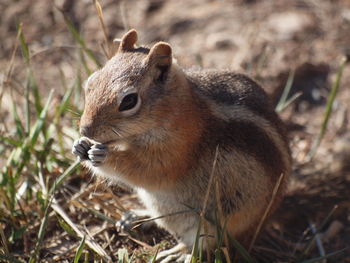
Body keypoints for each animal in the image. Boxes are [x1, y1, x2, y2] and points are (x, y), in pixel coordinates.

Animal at [72, 29, 292, 262]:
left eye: (129, 101)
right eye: (91, 82)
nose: (85, 130)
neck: (174, 107)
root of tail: (264, 222)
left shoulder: (177, 149)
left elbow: (148, 170)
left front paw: (103, 156)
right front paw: (80, 146)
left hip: (218, 220)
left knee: (201, 243)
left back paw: (176, 254)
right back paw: (137, 217)